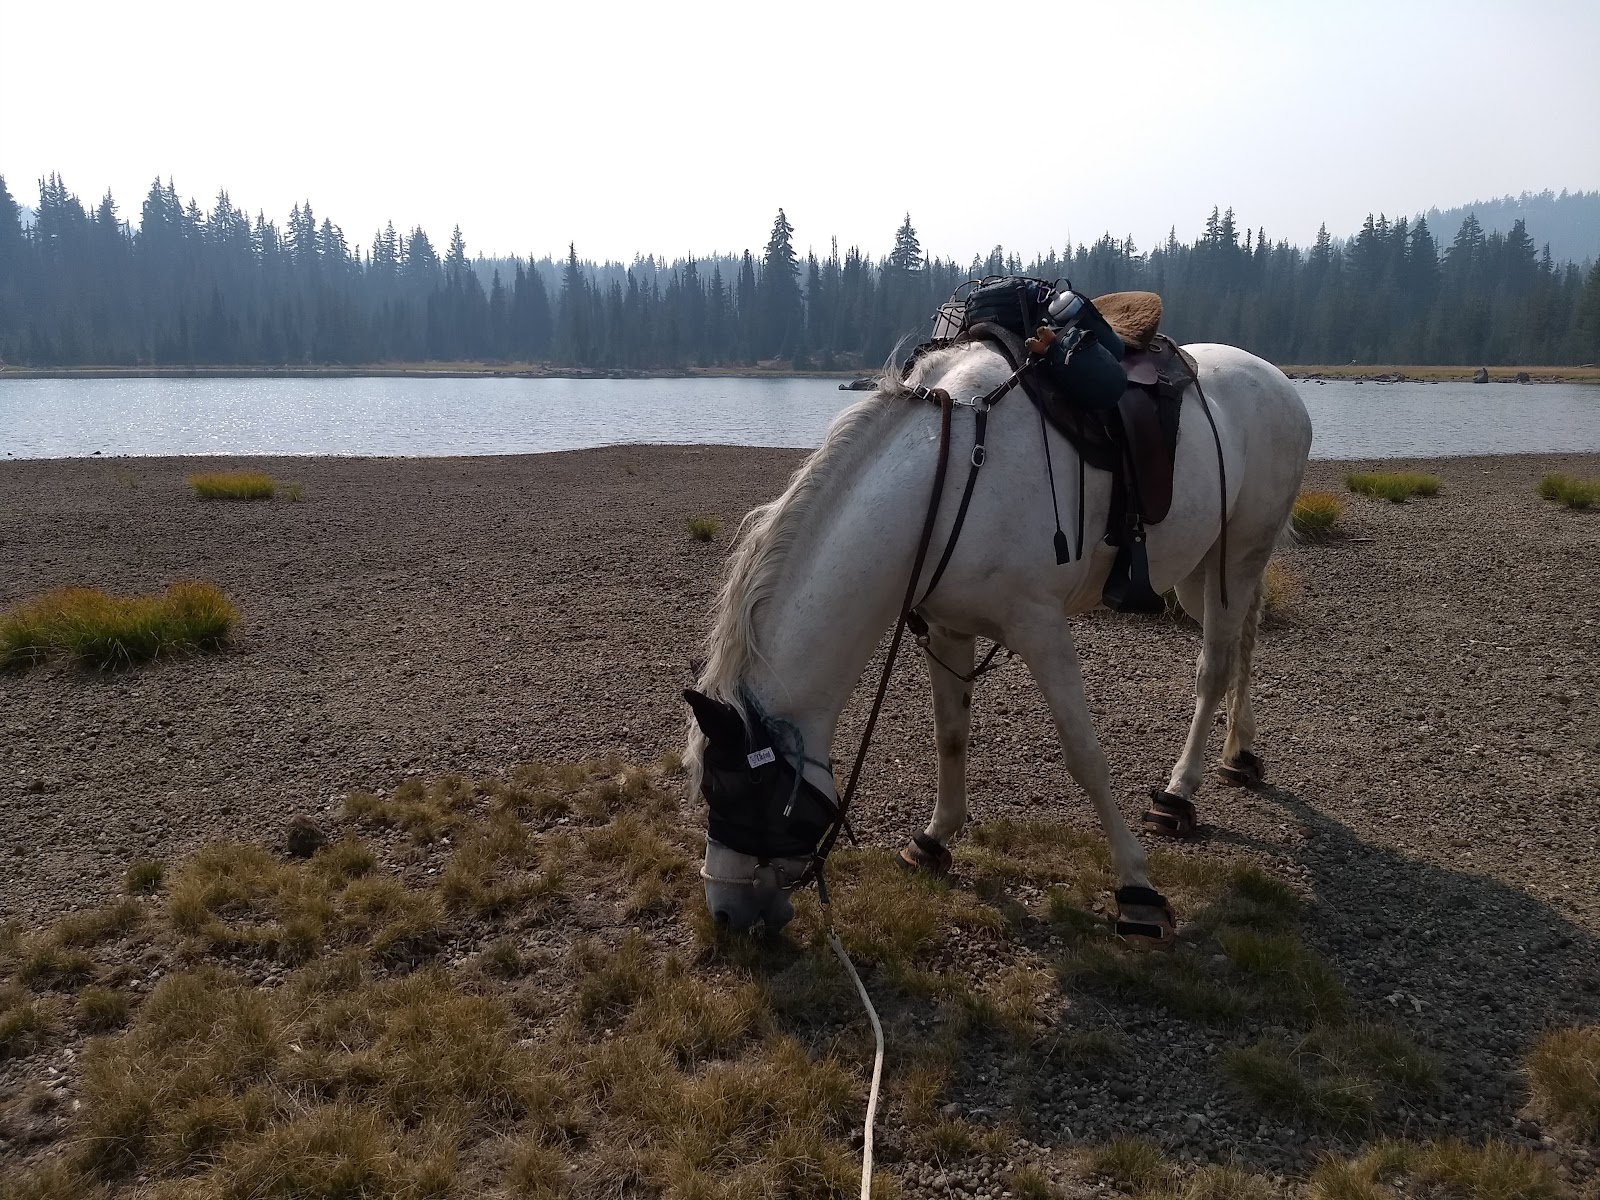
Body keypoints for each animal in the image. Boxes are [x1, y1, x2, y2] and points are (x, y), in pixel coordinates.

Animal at [684, 337, 1313, 943]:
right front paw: (933, 839)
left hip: (1240, 553)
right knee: (1243, 643)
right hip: (1202, 568)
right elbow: (951, 736)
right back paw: (1240, 754)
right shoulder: (948, 629)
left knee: (1215, 666)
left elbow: (1085, 756)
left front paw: (1137, 889)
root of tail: (1279, 381)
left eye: (732, 794)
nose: (725, 914)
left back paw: (1181, 793)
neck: (949, 483)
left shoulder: (1041, 628)